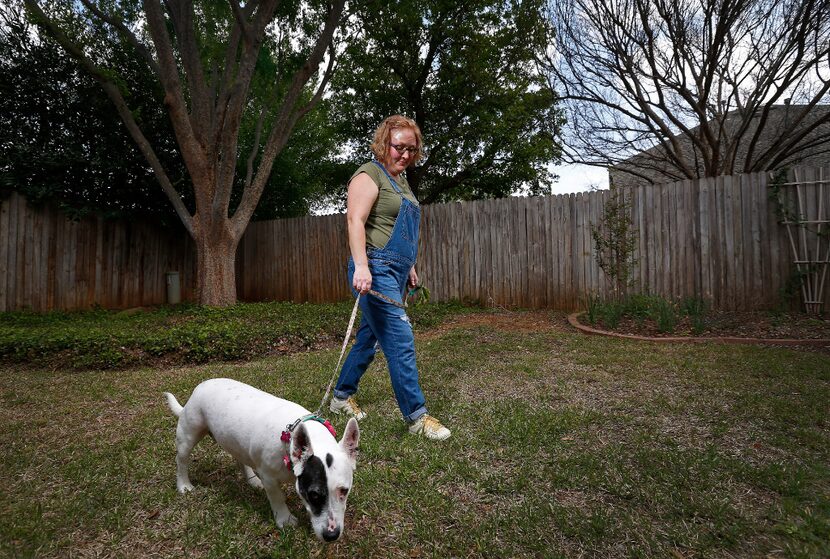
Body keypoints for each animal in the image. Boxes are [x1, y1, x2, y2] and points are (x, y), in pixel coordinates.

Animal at [163, 378, 360, 540]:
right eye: (313, 494)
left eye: (344, 491)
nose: (332, 535)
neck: (289, 440)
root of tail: (203, 384)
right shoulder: (269, 478)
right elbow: (277, 497)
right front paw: (285, 519)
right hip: (189, 434)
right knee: (182, 459)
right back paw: (184, 485)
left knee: (240, 458)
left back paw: (252, 480)